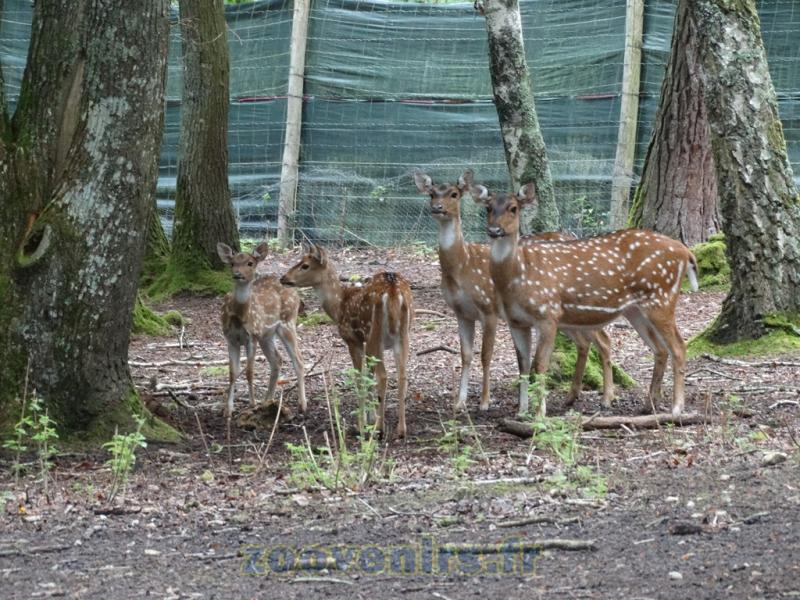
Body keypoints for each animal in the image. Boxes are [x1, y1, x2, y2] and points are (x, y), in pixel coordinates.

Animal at [217, 242, 307, 417]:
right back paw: (267, 401)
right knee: (277, 360)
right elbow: (232, 372)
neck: (239, 316)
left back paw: (302, 405)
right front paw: (228, 410)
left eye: (250, 263)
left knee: (298, 360)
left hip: (287, 323)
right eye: (232, 263)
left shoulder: (252, 336)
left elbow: (249, 372)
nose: (237, 274)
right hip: (267, 336)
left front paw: (251, 404)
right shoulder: (230, 339)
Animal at [280, 243, 413, 439]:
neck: (339, 306)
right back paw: (401, 430)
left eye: (305, 265)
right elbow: (367, 376)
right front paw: (369, 418)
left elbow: (359, 378)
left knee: (383, 375)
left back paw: (379, 428)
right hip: (403, 336)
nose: (283, 278)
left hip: (374, 334)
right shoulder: (363, 343)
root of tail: (393, 291)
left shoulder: (353, 339)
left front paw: (362, 424)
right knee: (402, 375)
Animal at [414, 169, 614, 414]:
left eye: (454, 193)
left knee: (603, 339)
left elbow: (486, 355)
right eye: (432, 193)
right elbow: (466, 355)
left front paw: (484, 402)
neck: (462, 266)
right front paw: (460, 403)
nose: (437, 208)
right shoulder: (461, 313)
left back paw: (607, 398)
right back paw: (571, 397)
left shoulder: (488, 307)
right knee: (585, 343)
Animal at [468, 177, 698, 419]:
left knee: (679, 347)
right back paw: (648, 404)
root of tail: (686, 252)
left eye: (513, 208)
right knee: (659, 348)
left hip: (662, 299)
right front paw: (521, 413)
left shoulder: (548, 313)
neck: (518, 275)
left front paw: (540, 415)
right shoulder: (517, 321)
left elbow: (539, 365)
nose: (494, 230)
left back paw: (676, 407)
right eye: (488, 208)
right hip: (635, 309)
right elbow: (522, 365)